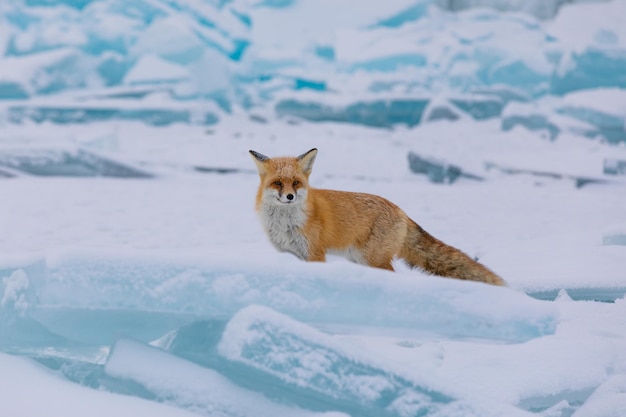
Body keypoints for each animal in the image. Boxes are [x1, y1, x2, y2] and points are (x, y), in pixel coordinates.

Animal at [247, 147, 502, 286]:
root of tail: (401, 210)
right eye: (278, 183)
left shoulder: (315, 254)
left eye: (296, 183)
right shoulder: (289, 253)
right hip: (361, 260)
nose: (290, 196)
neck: (285, 223)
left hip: (373, 259)